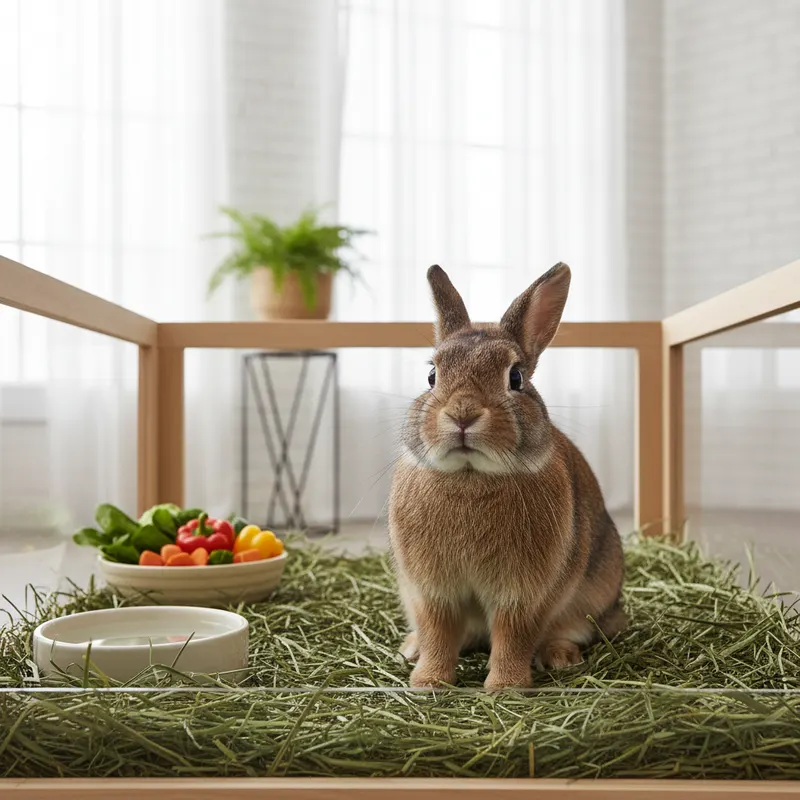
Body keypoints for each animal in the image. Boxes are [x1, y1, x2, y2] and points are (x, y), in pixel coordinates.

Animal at [387, 263, 627, 690]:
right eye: (432, 375)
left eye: (515, 378)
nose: (463, 414)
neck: (470, 475)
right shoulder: (432, 592)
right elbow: (438, 633)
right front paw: (428, 683)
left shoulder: (522, 595)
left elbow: (513, 635)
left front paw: (506, 687)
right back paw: (410, 648)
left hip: (593, 595)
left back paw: (561, 657)